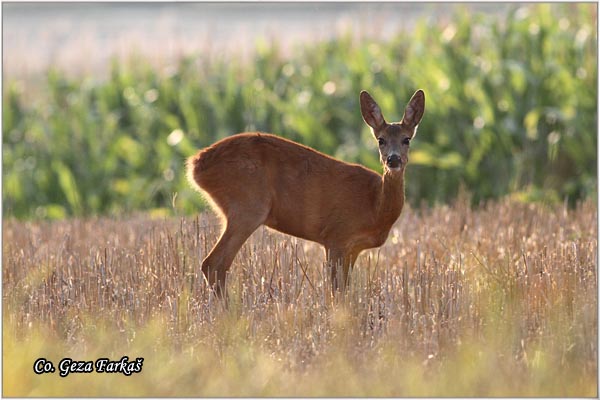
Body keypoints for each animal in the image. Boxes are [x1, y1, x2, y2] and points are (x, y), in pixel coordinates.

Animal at [185, 89, 424, 294]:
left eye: (407, 139)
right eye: (380, 139)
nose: (393, 159)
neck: (375, 206)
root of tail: (195, 165)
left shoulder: (353, 248)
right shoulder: (336, 235)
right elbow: (337, 292)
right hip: (248, 205)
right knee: (213, 264)